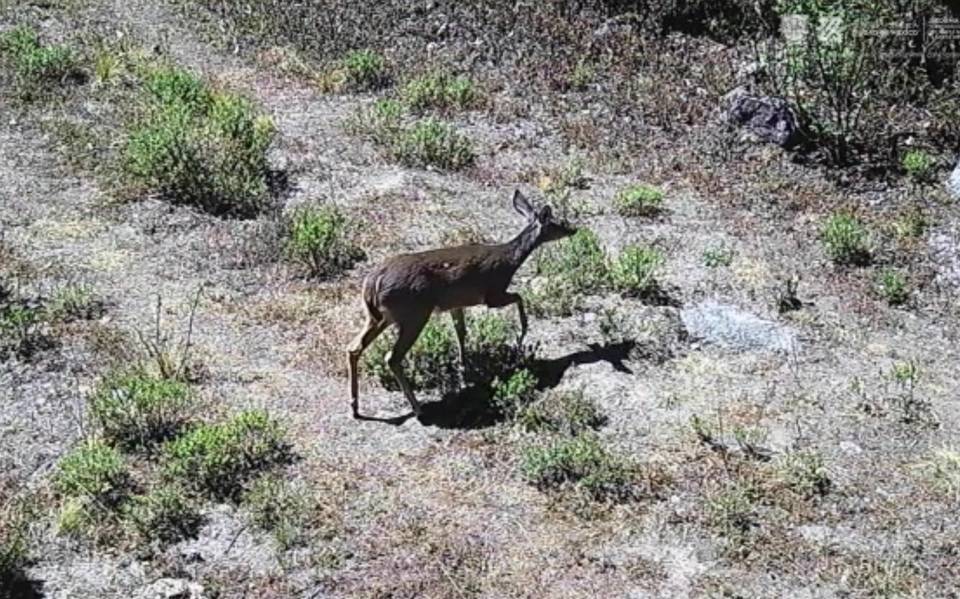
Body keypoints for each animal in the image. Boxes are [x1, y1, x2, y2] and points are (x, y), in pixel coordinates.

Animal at [348, 190, 572, 420]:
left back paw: (355, 407)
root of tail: (372, 283)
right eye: (556, 223)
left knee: (353, 348)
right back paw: (418, 408)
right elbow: (519, 296)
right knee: (391, 357)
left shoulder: (456, 304)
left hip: (379, 316)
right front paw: (522, 332)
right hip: (414, 313)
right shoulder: (493, 293)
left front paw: (464, 369)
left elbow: (461, 332)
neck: (511, 260)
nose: (573, 230)